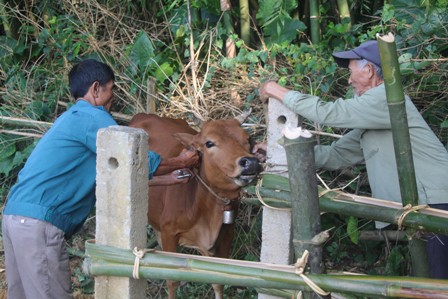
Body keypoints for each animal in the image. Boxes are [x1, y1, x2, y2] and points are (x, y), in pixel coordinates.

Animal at [130, 111, 260, 298]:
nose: (251, 162)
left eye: (247, 139)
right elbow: (172, 280)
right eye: (209, 143)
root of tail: (142, 114)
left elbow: (218, 280)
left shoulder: (227, 235)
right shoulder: (170, 233)